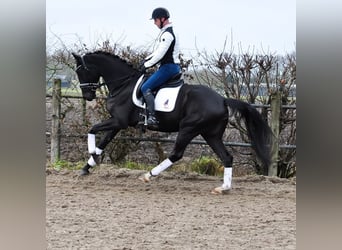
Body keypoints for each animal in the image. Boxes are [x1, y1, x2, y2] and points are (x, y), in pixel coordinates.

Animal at [72, 50, 272, 193]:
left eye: (81, 71)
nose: (88, 96)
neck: (124, 84)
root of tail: (222, 99)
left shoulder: (119, 121)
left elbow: (92, 129)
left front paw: (92, 155)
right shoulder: (117, 123)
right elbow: (103, 141)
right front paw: (87, 166)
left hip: (188, 129)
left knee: (176, 154)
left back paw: (148, 175)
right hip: (211, 134)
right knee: (227, 157)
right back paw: (224, 188)